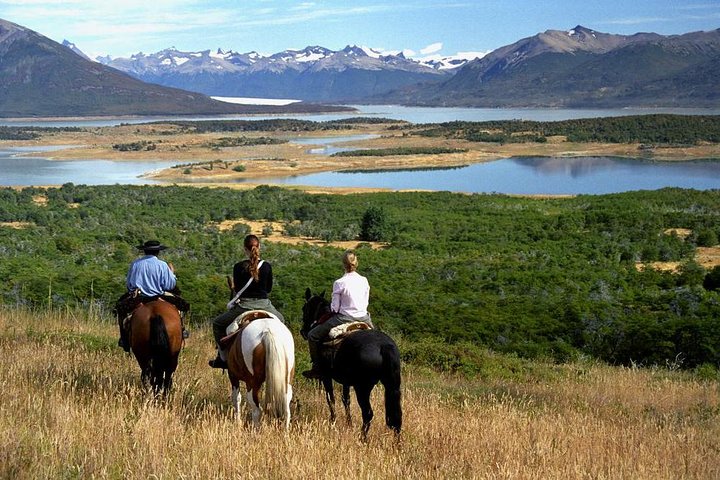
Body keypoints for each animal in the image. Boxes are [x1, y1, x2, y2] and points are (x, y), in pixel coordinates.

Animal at [300, 288, 402, 438]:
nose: (303, 331)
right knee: (396, 416)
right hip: (392, 385)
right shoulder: (346, 381)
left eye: (304, 308)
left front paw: (333, 422)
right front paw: (349, 423)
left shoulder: (326, 376)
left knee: (368, 413)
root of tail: (384, 346)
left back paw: (362, 438)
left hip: (363, 387)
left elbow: (330, 398)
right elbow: (346, 399)